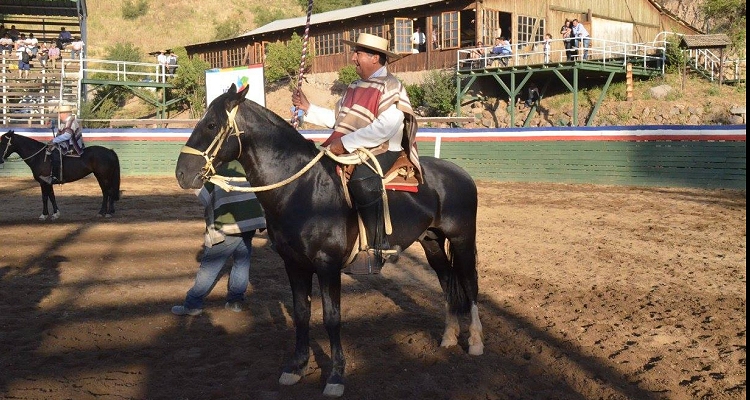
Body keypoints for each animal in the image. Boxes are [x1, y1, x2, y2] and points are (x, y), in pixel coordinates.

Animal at [176, 84, 484, 396]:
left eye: (211, 124)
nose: (182, 173)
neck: (302, 188)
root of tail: (460, 173)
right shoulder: (294, 264)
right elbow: (301, 314)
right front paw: (296, 367)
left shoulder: (327, 265)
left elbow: (331, 317)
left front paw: (335, 375)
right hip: (432, 242)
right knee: (447, 283)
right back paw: (448, 337)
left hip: (462, 240)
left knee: (469, 284)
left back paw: (475, 341)